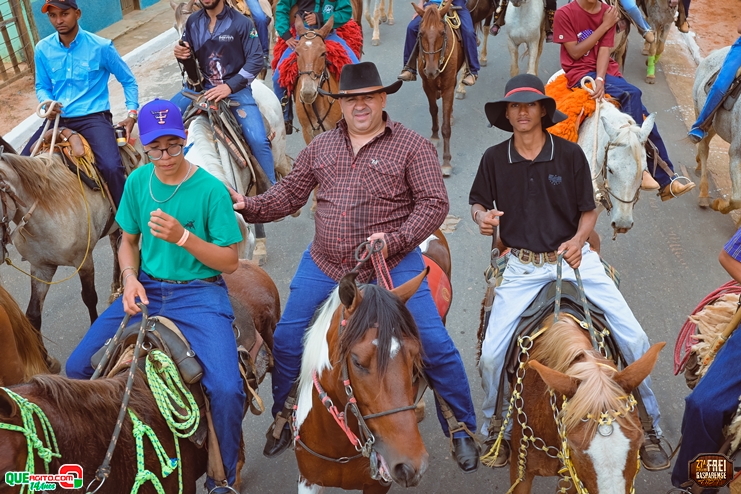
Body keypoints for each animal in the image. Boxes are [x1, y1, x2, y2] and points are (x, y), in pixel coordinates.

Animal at [416, 0, 462, 178]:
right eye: (420, 33)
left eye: (442, 33)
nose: (431, 70)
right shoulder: (426, 86)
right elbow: (434, 110)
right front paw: (435, 136)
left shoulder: (449, 87)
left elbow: (446, 127)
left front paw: (446, 162)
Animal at [692, 46, 740, 214]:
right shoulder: (736, 153)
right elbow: (737, 199)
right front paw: (719, 205)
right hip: (700, 111)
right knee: (703, 147)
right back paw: (704, 195)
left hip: (714, 125)